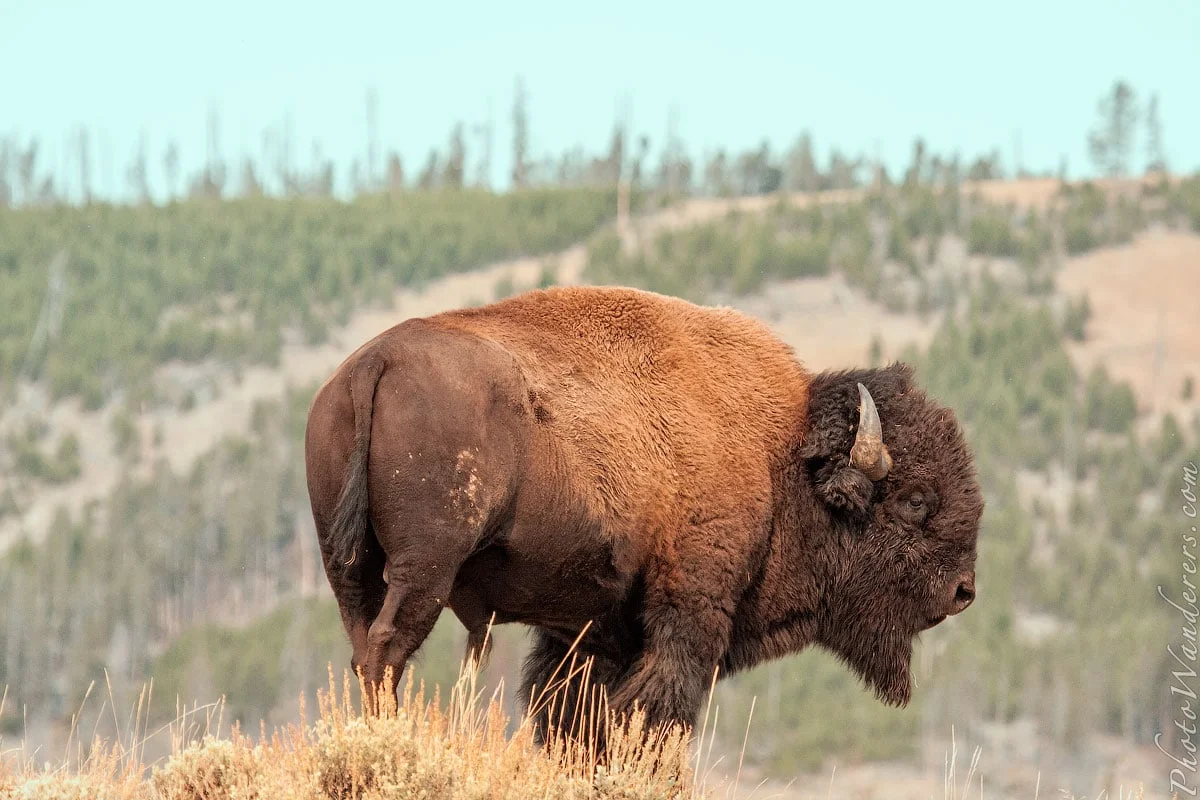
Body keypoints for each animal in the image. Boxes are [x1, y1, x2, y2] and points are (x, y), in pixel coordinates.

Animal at [304, 285, 983, 738]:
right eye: (915, 501)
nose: (963, 591)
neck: (778, 454)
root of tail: (375, 363)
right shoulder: (689, 613)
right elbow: (658, 709)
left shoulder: (594, 631)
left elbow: (576, 713)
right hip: (426, 569)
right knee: (386, 649)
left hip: (348, 566)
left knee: (361, 642)